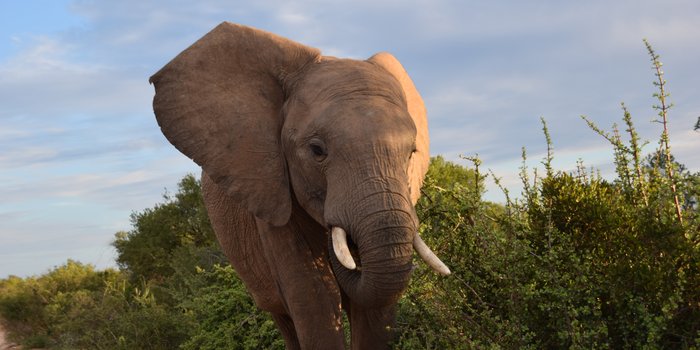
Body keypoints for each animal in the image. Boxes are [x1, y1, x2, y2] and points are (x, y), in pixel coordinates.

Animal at [150, 22, 452, 350]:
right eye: (317, 150)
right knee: (285, 318)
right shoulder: (271, 195)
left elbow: (374, 312)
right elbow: (315, 298)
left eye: (411, 153)